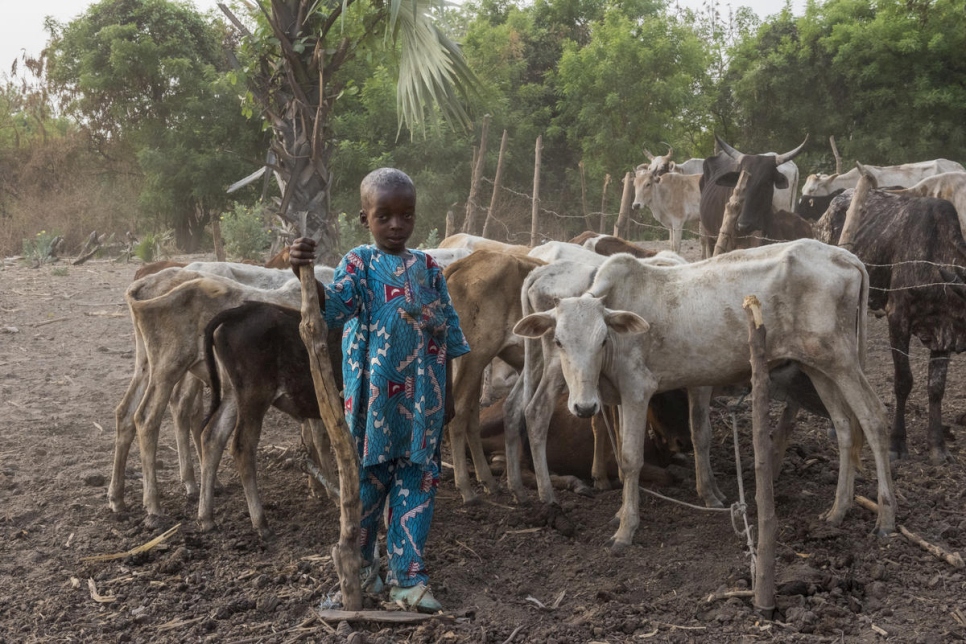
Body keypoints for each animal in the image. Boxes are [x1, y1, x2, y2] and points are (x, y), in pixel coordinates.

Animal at [516, 239, 900, 552]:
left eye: (602, 340)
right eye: (559, 340)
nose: (584, 406)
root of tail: (845, 256)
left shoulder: (639, 389)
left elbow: (630, 458)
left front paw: (625, 531)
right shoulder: (625, 396)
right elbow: (634, 456)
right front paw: (624, 512)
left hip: (842, 360)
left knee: (874, 418)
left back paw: (886, 519)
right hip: (819, 366)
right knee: (845, 425)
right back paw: (837, 510)